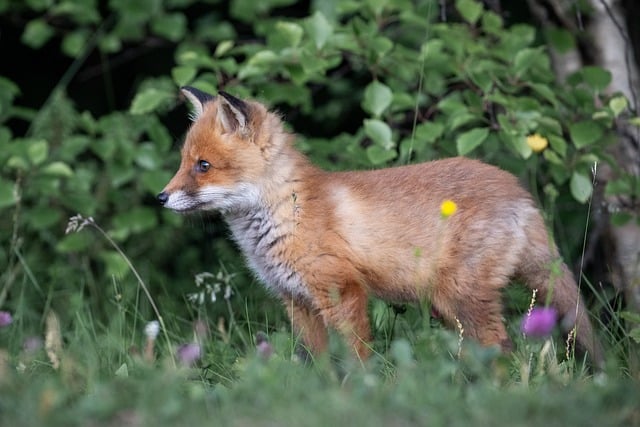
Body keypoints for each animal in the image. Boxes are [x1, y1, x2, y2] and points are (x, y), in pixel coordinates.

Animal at [157, 86, 604, 366]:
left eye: (203, 166)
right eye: (183, 162)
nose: (160, 198)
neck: (287, 214)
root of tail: (517, 189)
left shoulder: (342, 291)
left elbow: (357, 359)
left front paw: (361, 393)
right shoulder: (298, 302)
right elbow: (318, 365)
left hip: (460, 297)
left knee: (501, 348)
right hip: (447, 307)